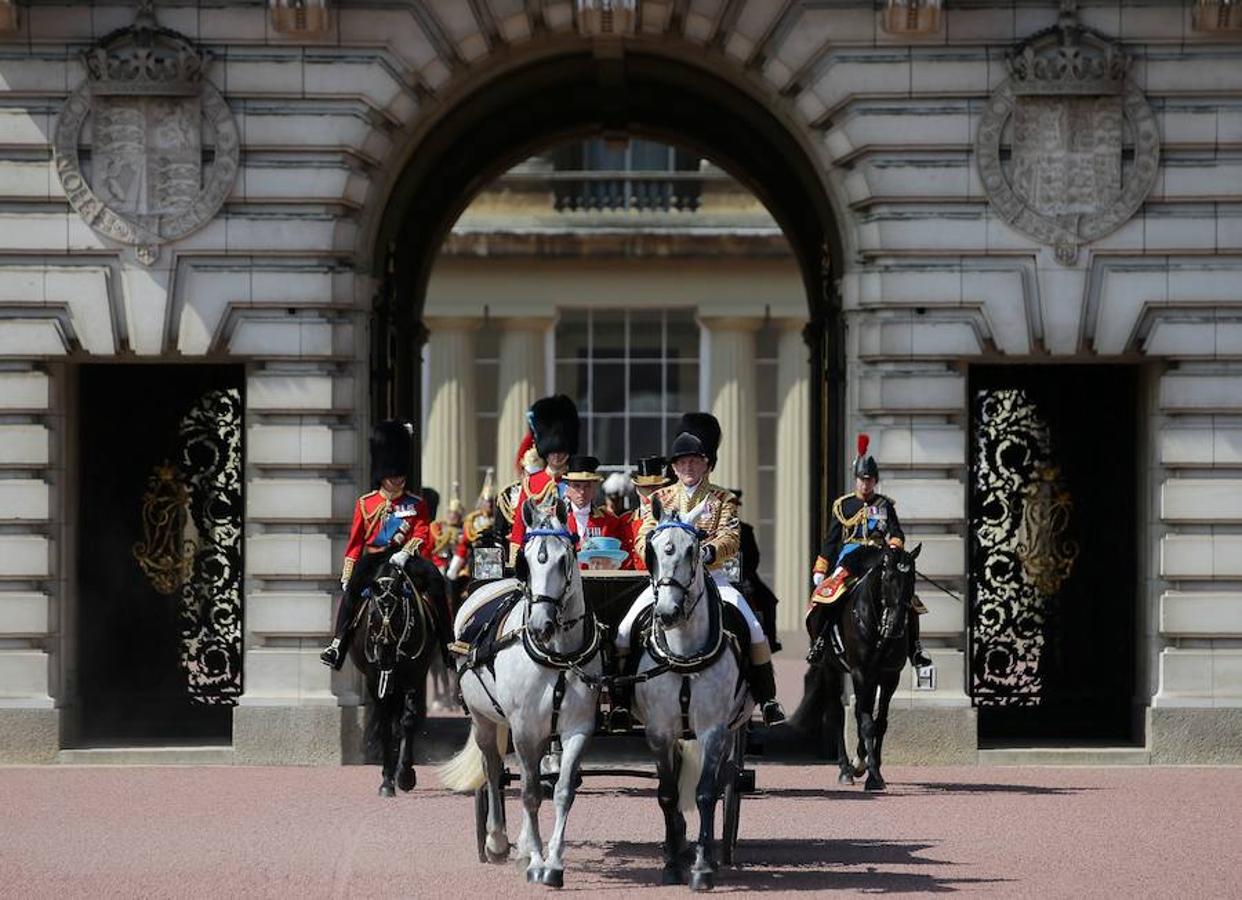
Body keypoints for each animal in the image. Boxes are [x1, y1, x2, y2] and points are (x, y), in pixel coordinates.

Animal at [347, 548, 449, 794]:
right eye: (372, 615)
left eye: (400, 615)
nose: (385, 659)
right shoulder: (374, 680)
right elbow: (385, 723)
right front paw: (387, 780)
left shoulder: (415, 675)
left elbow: (408, 720)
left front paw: (405, 775)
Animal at [437, 499, 601, 883]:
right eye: (526, 561)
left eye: (564, 558)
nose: (542, 626)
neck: (557, 656)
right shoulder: (524, 727)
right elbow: (528, 793)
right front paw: (538, 861)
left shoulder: (576, 728)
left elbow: (561, 791)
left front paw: (551, 861)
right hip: (484, 720)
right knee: (493, 767)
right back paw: (498, 841)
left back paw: (525, 845)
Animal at [635, 499, 750, 893]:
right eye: (651, 550)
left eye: (694, 549)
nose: (668, 613)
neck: (684, 655)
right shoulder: (659, 732)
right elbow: (667, 794)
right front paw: (671, 863)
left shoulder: (714, 731)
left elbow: (705, 794)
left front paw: (702, 867)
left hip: (729, 732)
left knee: (722, 783)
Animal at [804, 541, 924, 784]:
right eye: (888, 578)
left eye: (912, 579)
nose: (896, 625)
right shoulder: (860, 672)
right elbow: (865, 720)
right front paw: (872, 775)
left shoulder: (889, 676)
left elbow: (879, 722)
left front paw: (869, 765)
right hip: (830, 668)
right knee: (837, 714)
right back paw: (844, 769)